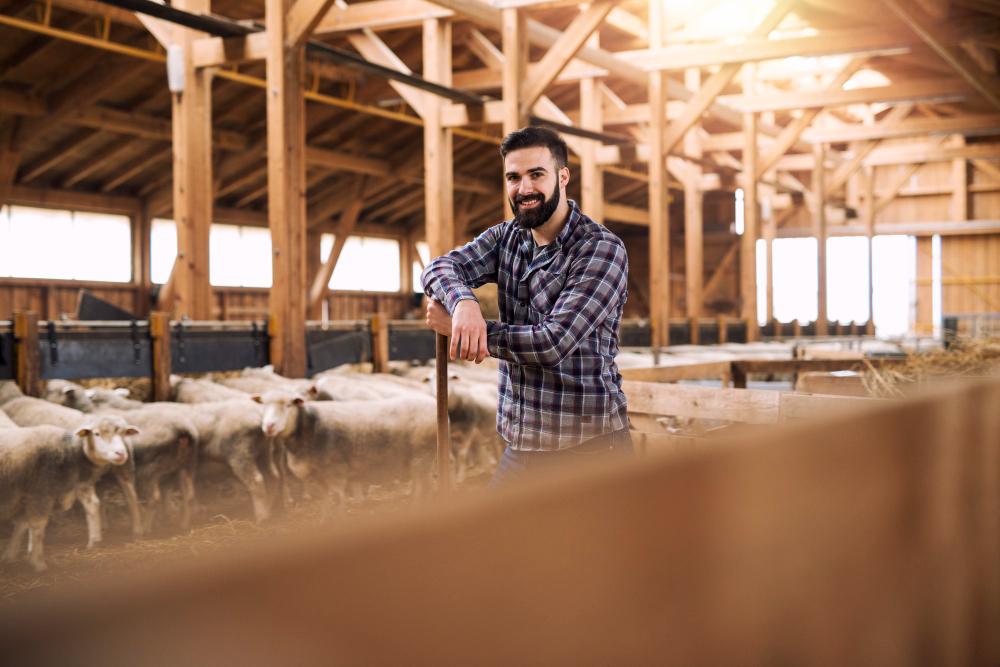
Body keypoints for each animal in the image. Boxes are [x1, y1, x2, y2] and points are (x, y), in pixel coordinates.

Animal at [0, 414, 137, 572]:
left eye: (124, 433)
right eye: (96, 434)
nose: (121, 454)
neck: (69, 451)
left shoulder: (29, 494)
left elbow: (22, 523)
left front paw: (11, 555)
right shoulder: (40, 491)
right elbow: (38, 526)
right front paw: (38, 563)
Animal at [254, 392, 434, 506]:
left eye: (288, 405)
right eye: (262, 406)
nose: (269, 426)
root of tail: (433, 402)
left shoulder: (336, 471)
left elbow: (337, 501)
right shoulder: (321, 477)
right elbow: (327, 503)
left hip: (421, 455)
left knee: (421, 487)